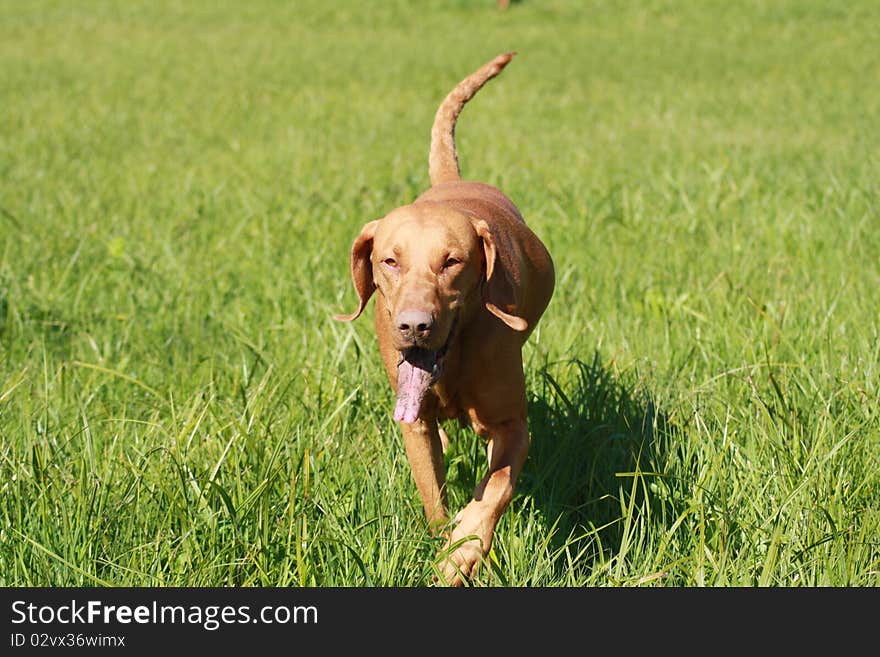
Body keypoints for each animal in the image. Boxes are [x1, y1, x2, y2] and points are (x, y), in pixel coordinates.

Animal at [334, 52, 552, 584]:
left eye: (452, 261)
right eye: (390, 261)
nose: (414, 326)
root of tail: (452, 183)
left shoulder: (512, 425)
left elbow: (493, 490)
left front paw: (462, 553)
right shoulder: (414, 424)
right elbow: (434, 497)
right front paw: (445, 538)